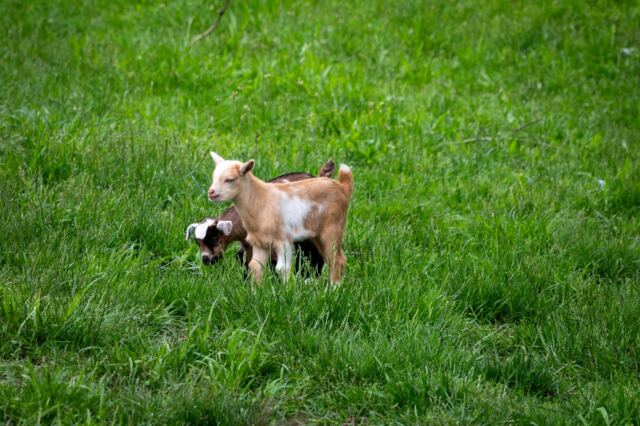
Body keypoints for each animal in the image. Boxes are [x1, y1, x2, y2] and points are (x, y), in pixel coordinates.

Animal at [207, 152, 353, 284]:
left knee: (337, 260)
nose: (211, 192)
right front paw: (256, 292)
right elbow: (255, 266)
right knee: (332, 258)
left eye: (230, 179)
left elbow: (281, 268)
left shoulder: (283, 240)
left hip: (332, 228)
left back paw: (333, 289)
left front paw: (286, 291)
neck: (259, 198)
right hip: (317, 234)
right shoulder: (260, 242)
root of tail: (342, 187)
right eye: (213, 177)